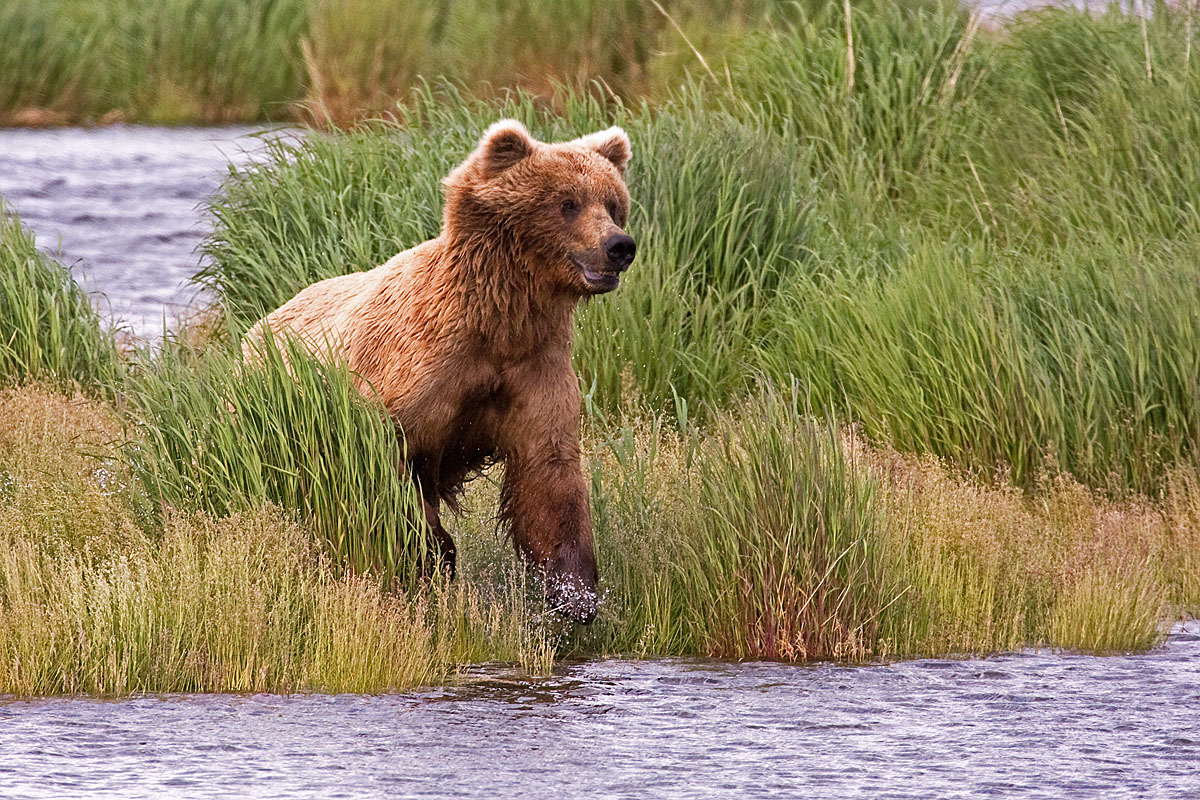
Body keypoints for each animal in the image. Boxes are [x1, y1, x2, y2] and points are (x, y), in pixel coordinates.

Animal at [245, 119, 635, 624]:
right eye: (567, 203)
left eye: (613, 204)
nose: (619, 246)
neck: (496, 323)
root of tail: (257, 326)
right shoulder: (413, 372)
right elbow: (391, 468)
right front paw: (437, 555)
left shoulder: (533, 370)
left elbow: (549, 475)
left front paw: (574, 593)